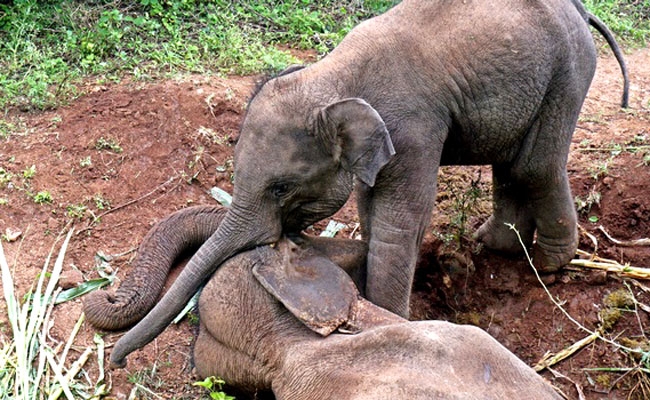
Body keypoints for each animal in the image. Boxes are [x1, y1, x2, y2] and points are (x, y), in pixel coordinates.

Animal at [108, 0, 630, 366]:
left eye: (280, 189)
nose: (115, 359)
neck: (331, 76)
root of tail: (579, 10)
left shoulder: (412, 129)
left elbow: (400, 223)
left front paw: (393, 321)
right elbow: (367, 207)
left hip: (567, 73)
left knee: (534, 164)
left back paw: (548, 264)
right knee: (511, 160)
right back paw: (497, 245)